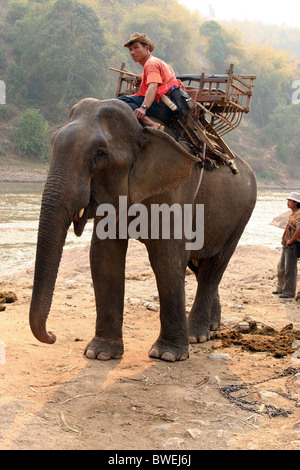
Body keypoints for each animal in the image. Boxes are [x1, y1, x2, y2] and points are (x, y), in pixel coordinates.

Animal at [29, 98, 256, 364]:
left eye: (100, 154)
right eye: (52, 143)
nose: (52, 336)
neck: (143, 131)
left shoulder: (173, 191)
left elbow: (167, 259)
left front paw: (167, 355)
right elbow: (104, 257)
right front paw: (100, 353)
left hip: (240, 217)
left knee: (214, 267)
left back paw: (196, 335)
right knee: (200, 266)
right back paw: (211, 327)